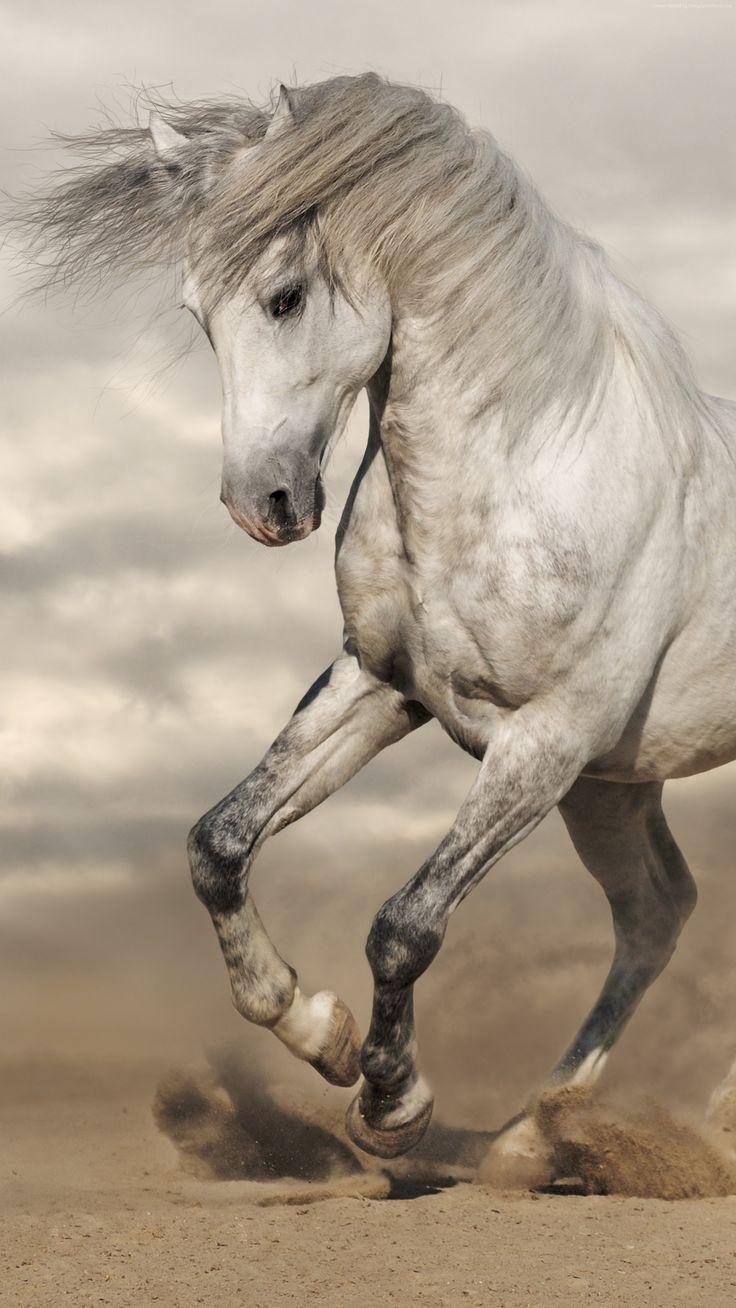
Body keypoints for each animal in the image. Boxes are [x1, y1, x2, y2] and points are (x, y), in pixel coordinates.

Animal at [16, 72, 736, 1184]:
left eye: (284, 295)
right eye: (195, 312)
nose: (261, 504)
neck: (525, 467)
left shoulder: (545, 741)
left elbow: (406, 924)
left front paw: (392, 1102)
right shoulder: (382, 687)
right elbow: (218, 843)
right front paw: (318, 1030)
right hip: (614, 791)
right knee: (655, 912)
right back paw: (532, 1137)